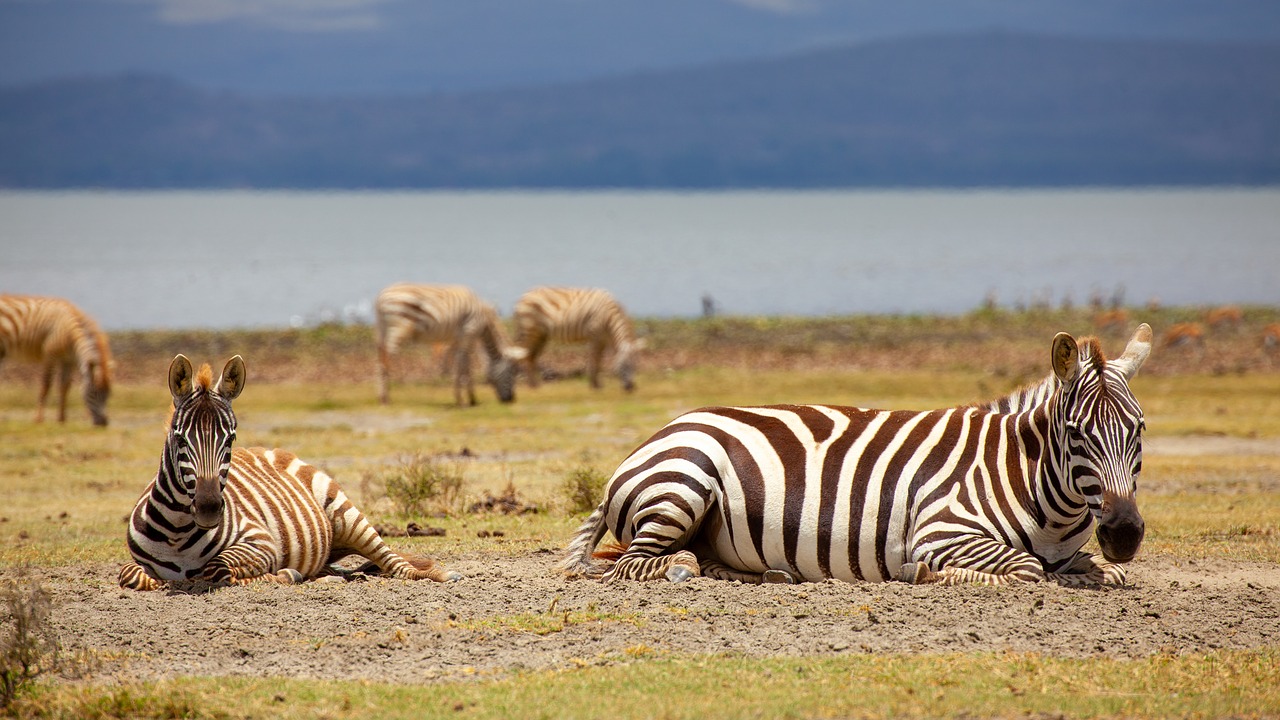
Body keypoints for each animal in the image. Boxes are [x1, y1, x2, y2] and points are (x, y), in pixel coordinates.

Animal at [0, 293, 113, 425]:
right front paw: (38, 418)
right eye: (93, 393)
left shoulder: (68, 360)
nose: (103, 423)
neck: (69, 332)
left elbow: (64, 386)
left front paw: (62, 418)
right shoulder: (50, 355)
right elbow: (46, 385)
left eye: (109, 394)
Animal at [117, 353, 463, 589]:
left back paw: (441, 573)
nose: (209, 508)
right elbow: (131, 576)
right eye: (179, 439)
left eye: (230, 438)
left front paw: (282, 574)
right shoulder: (135, 565)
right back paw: (327, 578)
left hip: (345, 512)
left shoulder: (262, 542)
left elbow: (217, 570)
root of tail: (269, 450)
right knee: (337, 569)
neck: (177, 533)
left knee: (394, 563)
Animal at [373, 280, 524, 404]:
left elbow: (461, 365)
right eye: (512, 373)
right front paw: (463, 400)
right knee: (387, 357)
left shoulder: (457, 340)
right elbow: (464, 366)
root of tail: (381, 296)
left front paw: (470, 398)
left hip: (382, 330)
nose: (511, 399)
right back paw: (389, 394)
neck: (484, 320)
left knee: (381, 357)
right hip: (398, 328)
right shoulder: (468, 335)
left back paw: (383, 397)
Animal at [512, 283, 645, 389]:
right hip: (530, 331)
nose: (630, 388)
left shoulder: (605, 339)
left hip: (541, 335)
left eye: (634, 366)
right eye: (622, 366)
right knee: (525, 356)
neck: (609, 318)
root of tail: (522, 297)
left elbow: (600, 360)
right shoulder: (595, 336)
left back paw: (536, 386)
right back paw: (531, 386)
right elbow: (595, 359)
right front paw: (595, 385)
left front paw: (596, 383)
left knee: (531, 357)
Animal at [565, 322, 1157, 586]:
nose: (1125, 533)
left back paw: (759, 574)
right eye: (1077, 434)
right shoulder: (940, 530)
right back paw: (683, 567)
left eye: (1139, 431)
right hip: (684, 482)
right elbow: (1027, 569)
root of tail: (658, 434)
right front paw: (923, 574)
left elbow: (1101, 571)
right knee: (635, 560)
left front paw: (1097, 568)